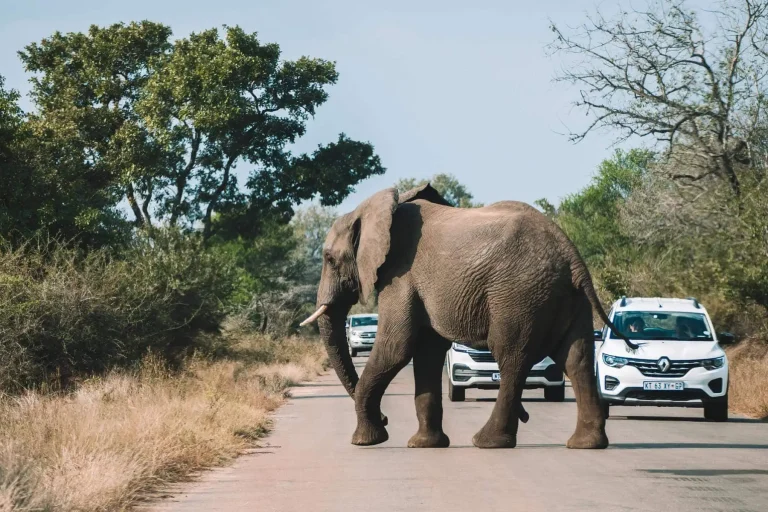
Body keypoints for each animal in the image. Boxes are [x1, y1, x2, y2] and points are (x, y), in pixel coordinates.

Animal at [300, 184, 636, 448]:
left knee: (511, 357)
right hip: (565, 298)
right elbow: (427, 351)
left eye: (329, 258)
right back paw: (586, 444)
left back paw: (487, 442)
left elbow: (397, 347)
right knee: (576, 358)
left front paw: (366, 442)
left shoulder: (400, 277)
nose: (384, 418)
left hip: (518, 295)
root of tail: (572, 255)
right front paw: (425, 445)